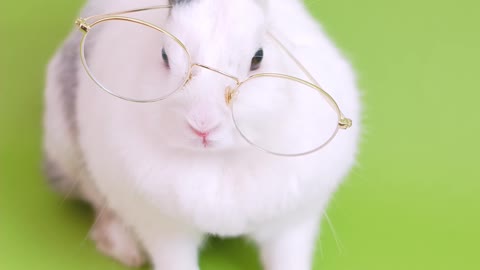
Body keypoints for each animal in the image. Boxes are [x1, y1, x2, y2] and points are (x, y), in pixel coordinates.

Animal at [44, 0, 360, 270]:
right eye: (164, 56)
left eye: (258, 58)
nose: (202, 125)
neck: (218, 160)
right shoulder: (163, 229)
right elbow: (175, 259)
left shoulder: (292, 225)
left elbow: (287, 257)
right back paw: (126, 251)